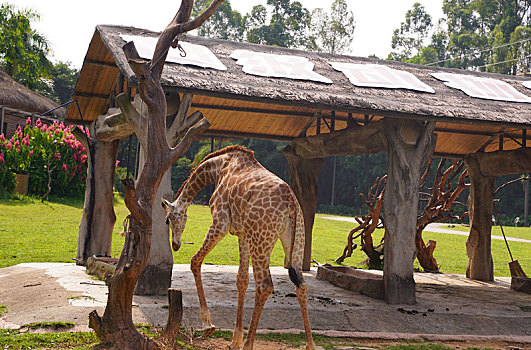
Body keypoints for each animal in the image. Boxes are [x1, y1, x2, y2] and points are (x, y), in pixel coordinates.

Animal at [162, 145, 316, 350]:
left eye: (167, 220)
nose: (176, 245)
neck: (218, 168)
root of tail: (291, 204)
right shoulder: (242, 234)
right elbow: (241, 279)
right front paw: (235, 339)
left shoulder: (220, 223)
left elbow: (195, 261)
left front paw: (208, 325)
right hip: (295, 240)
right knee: (301, 284)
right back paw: (310, 344)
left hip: (261, 239)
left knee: (265, 285)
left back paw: (248, 344)